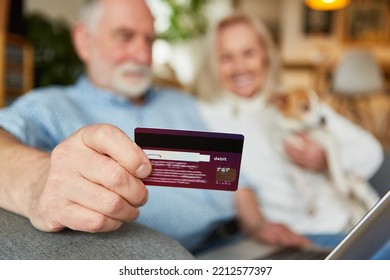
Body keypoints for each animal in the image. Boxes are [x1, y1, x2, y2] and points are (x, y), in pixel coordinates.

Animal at [266, 87, 378, 225]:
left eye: (319, 105)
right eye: (305, 107)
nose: (324, 119)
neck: (299, 131)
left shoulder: (329, 142)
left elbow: (335, 165)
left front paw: (341, 183)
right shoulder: (291, 164)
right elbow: (301, 185)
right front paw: (310, 201)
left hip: (358, 187)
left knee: (368, 199)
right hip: (344, 202)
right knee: (356, 213)